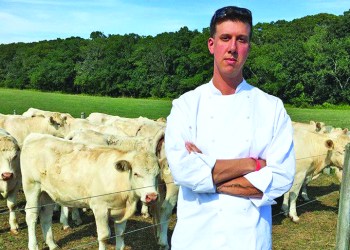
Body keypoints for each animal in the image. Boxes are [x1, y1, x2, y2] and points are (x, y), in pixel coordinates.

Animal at [20, 134, 160, 250]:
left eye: (157, 174)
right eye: (136, 173)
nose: (152, 196)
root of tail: (34, 136)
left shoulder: (121, 211)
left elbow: (121, 235)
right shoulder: (99, 208)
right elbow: (104, 236)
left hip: (47, 193)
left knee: (46, 216)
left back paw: (52, 244)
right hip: (32, 187)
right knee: (31, 215)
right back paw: (33, 246)